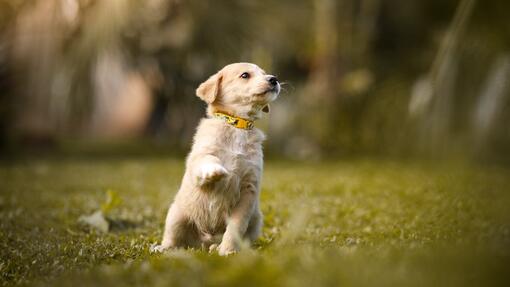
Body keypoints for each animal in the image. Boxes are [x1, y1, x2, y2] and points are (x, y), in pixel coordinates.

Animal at [152, 63, 278, 256]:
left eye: (264, 73)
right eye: (245, 75)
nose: (274, 79)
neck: (237, 125)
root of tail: (203, 241)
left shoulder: (249, 189)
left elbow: (235, 227)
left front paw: (227, 251)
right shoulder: (200, 157)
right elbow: (208, 159)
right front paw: (216, 170)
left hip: (256, 220)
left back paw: (217, 247)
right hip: (176, 216)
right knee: (174, 240)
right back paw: (162, 248)